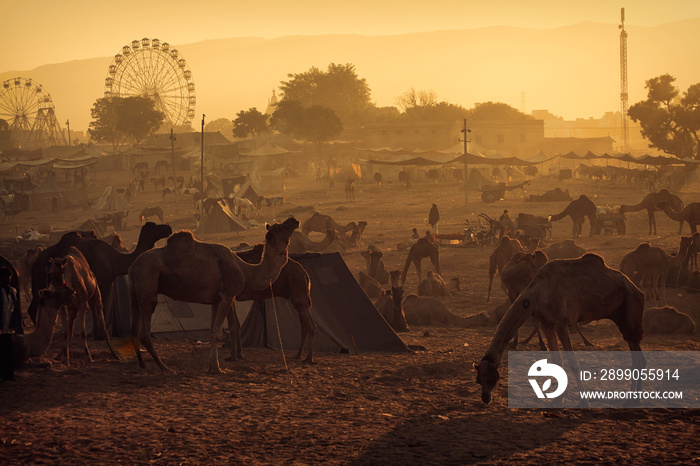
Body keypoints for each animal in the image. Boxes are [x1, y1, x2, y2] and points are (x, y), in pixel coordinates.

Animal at [28, 223, 174, 326]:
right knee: (33, 306)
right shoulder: (101, 281)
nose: (168, 227)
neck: (115, 260)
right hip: (39, 278)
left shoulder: (109, 281)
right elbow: (99, 308)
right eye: (154, 226)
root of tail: (35, 261)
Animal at [129, 217, 298, 374]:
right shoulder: (227, 297)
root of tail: (134, 265)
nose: (294, 221)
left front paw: (212, 366)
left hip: (135, 295)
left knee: (134, 330)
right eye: (283, 226)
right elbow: (217, 333)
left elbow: (212, 332)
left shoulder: (215, 300)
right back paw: (165, 367)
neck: (245, 270)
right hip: (147, 284)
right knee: (145, 333)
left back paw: (144, 364)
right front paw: (217, 368)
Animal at [474, 251, 644, 404]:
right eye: (478, 380)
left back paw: (633, 400)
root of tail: (637, 288)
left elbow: (573, 363)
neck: (537, 293)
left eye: (491, 377)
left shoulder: (561, 323)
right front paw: (558, 399)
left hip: (632, 305)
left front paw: (585, 402)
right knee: (635, 351)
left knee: (636, 351)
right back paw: (633, 397)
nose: (485, 398)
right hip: (620, 316)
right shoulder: (546, 323)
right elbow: (556, 361)